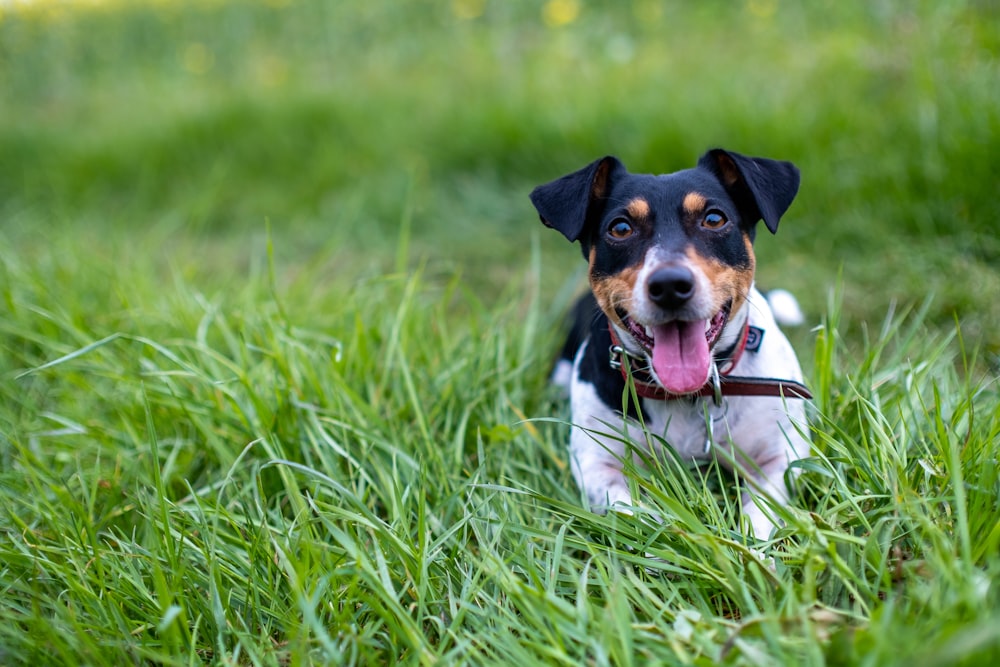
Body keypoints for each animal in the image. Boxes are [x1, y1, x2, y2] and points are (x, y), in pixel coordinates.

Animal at [532, 149, 812, 540]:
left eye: (714, 219)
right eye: (620, 228)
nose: (669, 284)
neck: (687, 396)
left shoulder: (780, 457)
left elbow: (760, 514)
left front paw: (750, 551)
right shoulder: (596, 464)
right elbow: (638, 514)